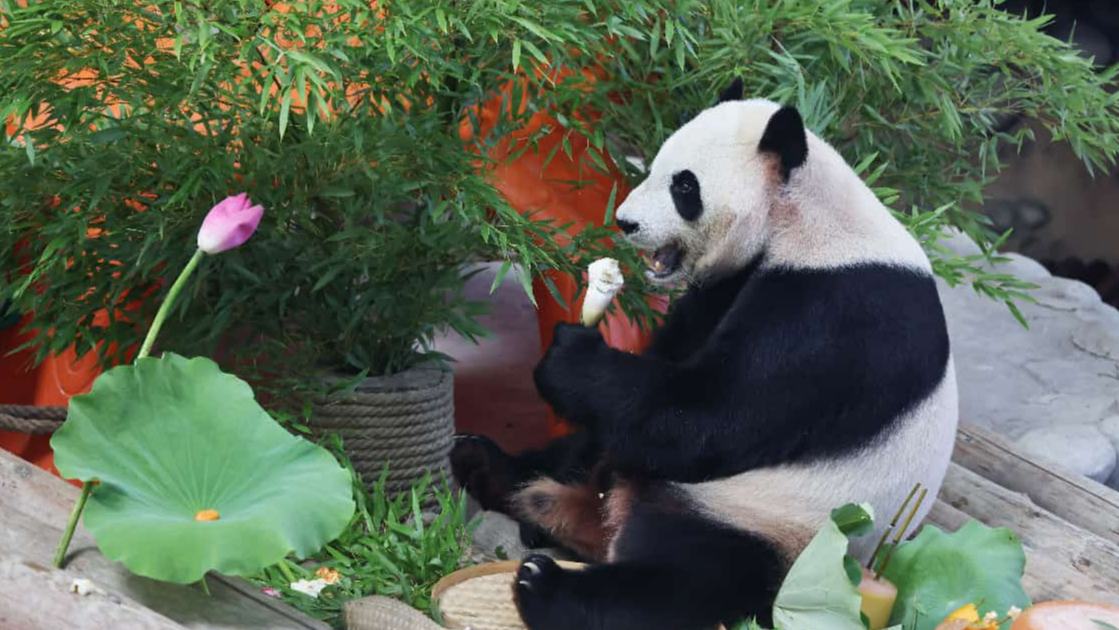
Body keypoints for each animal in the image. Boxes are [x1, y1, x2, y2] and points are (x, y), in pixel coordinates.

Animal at [450, 79, 958, 630]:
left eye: (685, 187)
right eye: (652, 167)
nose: (625, 222)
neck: (803, 218)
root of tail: (604, 514)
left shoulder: (840, 311)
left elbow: (712, 416)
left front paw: (570, 355)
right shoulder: (730, 285)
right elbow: (660, 381)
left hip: (776, 523)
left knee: (692, 574)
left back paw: (550, 588)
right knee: (584, 451)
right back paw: (489, 468)